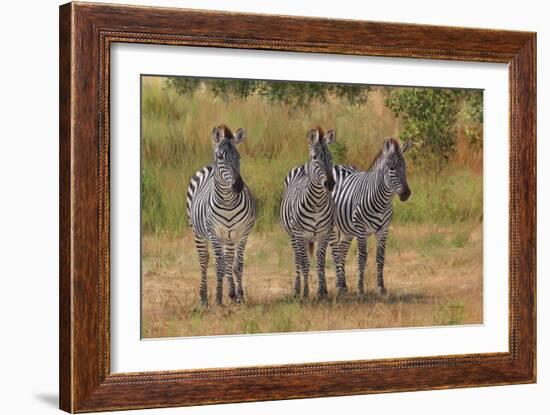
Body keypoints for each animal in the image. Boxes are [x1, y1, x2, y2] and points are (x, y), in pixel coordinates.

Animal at [184, 124, 256, 306]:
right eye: (220, 156)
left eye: (239, 157)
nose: (238, 186)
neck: (228, 203)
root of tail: (209, 167)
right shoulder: (214, 234)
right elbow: (220, 266)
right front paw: (218, 298)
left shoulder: (242, 233)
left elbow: (236, 265)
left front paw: (239, 295)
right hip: (198, 233)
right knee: (205, 261)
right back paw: (203, 297)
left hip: (229, 238)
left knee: (228, 260)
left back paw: (231, 293)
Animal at [282, 127, 338, 300]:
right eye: (315, 158)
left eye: (331, 157)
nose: (330, 183)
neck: (317, 204)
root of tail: (301, 167)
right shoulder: (300, 235)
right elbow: (305, 263)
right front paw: (306, 292)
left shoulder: (324, 234)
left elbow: (320, 262)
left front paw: (321, 292)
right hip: (293, 236)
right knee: (298, 260)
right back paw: (297, 290)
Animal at [330, 138, 412, 298]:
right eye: (391, 168)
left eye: (405, 167)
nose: (406, 194)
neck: (382, 202)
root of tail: (339, 166)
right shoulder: (361, 229)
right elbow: (362, 257)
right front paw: (360, 288)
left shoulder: (383, 230)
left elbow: (380, 257)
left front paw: (381, 288)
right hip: (334, 227)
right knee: (335, 252)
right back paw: (338, 285)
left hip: (347, 229)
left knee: (342, 252)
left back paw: (343, 285)